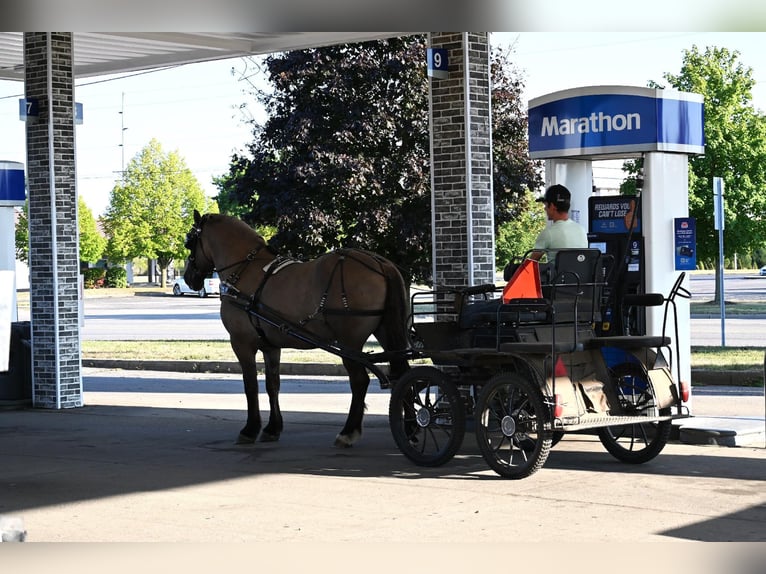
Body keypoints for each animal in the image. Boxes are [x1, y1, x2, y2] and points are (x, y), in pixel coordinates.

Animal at [183, 210, 411, 447]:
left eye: (189, 242)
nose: (188, 277)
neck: (245, 269)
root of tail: (379, 262)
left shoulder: (241, 343)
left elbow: (250, 386)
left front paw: (250, 429)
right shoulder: (270, 346)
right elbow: (272, 385)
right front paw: (272, 428)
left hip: (349, 341)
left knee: (360, 381)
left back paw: (348, 431)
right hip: (385, 331)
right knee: (403, 374)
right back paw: (410, 428)